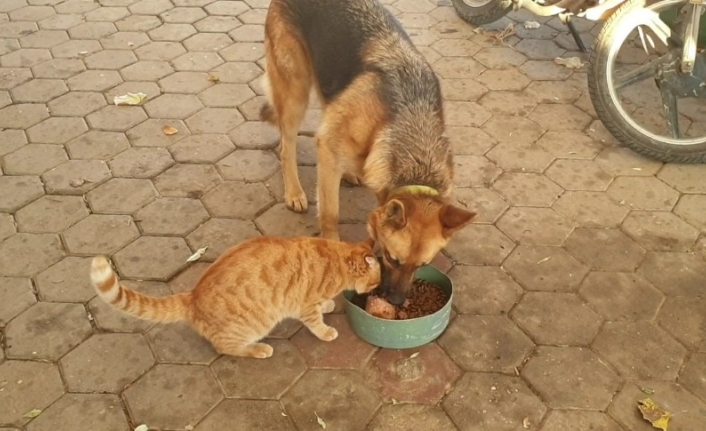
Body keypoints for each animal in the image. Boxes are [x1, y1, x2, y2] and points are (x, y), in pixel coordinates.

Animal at [93, 236, 382, 358]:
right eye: (377, 281)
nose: (377, 289)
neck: (337, 260)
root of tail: (192, 296)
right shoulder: (305, 306)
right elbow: (316, 322)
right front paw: (326, 330)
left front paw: (328, 303)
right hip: (255, 325)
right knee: (225, 347)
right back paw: (259, 349)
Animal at [258, 0, 472, 306]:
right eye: (393, 259)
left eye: (421, 265)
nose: (397, 302)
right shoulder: (327, 147)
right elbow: (330, 213)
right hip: (295, 94)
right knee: (286, 147)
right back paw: (295, 192)